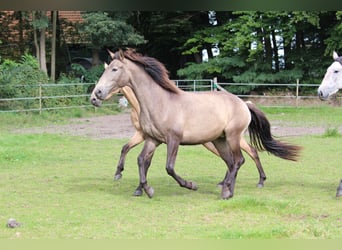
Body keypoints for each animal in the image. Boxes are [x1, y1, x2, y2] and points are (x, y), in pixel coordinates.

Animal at [90, 49, 300, 199]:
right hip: (219, 140)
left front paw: (190, 185)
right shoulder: (152, 139)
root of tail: (243, 104)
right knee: (232, 162)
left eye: (114, 69)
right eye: (106, 69)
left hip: (233, 137)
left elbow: (169, 167)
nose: (96, 94)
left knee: (240, 159)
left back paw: (229, 192)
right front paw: (145, 189)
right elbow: (142, 160)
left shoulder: (173, 139)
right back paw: (227, 187)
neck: (160, 102)